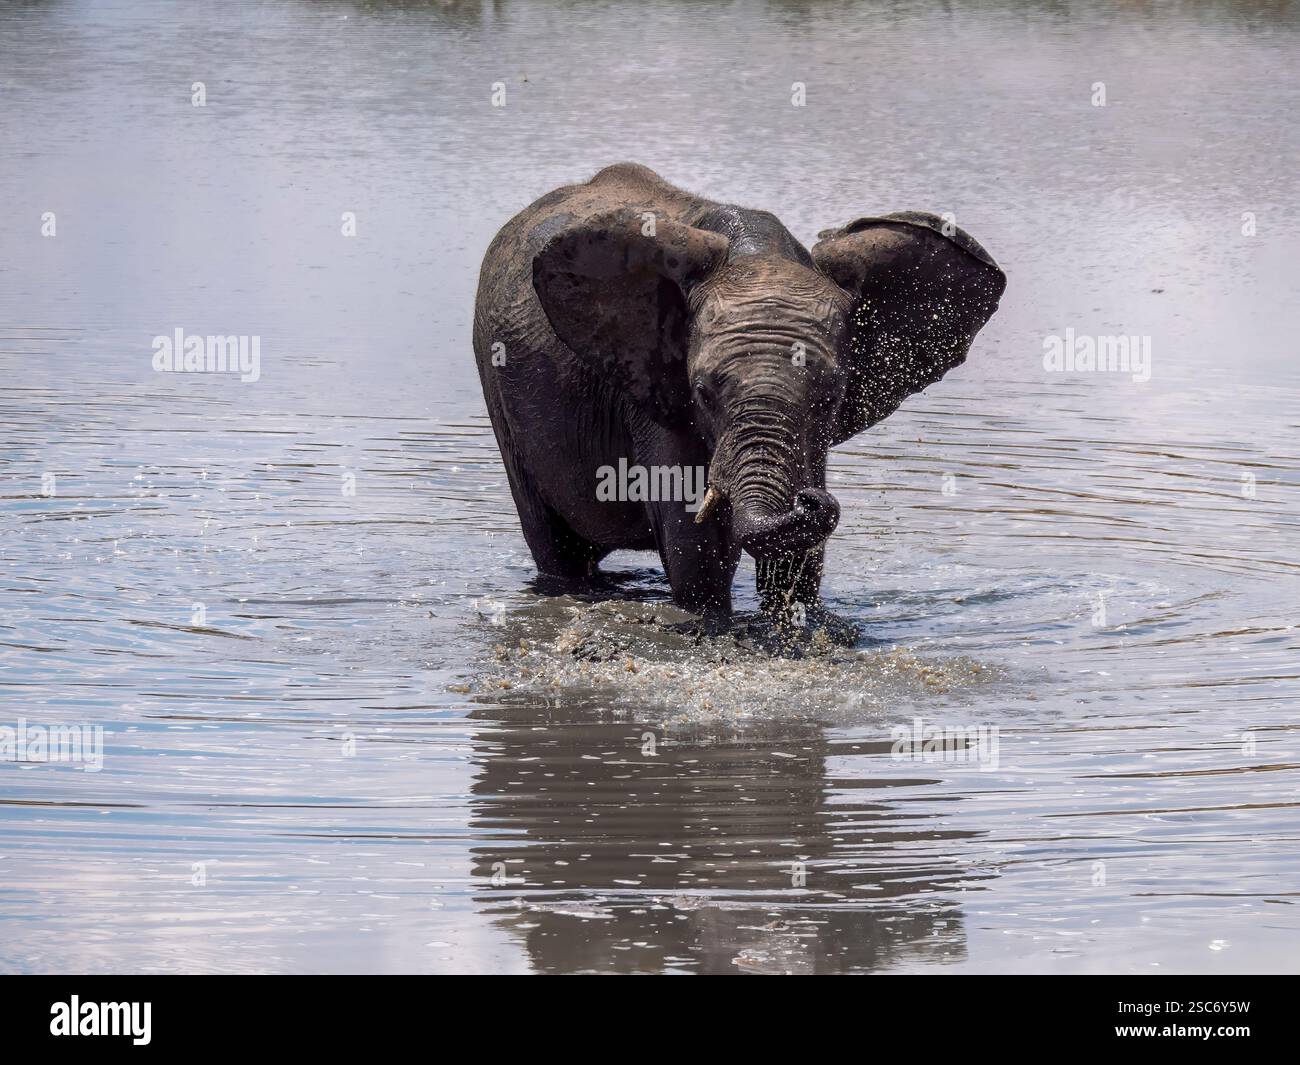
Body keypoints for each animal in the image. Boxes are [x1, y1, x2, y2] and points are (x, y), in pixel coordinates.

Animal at [472, 163, 1005, 640]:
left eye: (831, 397)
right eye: (703, 392)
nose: (812, 497)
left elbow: (796, 556)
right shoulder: (656, 393)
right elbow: (697, 544)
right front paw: (714, 624)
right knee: (554, 544)